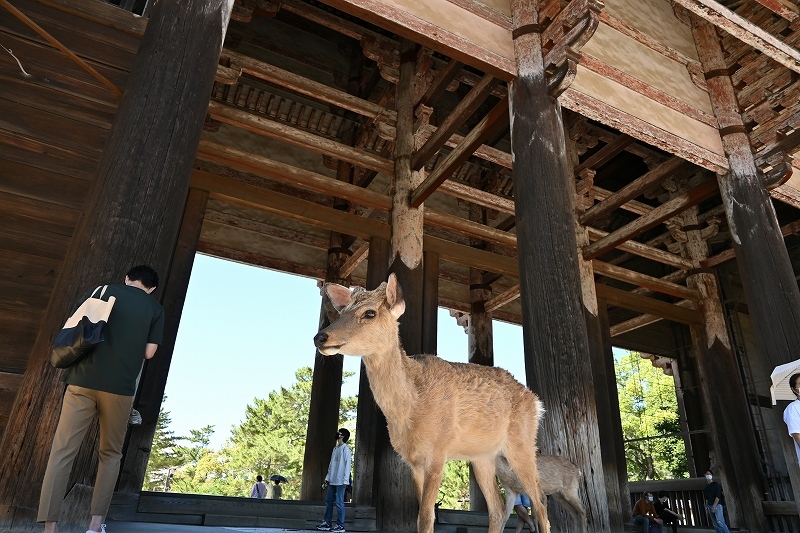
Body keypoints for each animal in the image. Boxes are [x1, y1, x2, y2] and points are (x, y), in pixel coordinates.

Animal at [312, 272, 552, 532]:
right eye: (342, 311)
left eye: (370, 313)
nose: (320, 337)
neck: (409, 410)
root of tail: (536, 402)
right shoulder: (413, 461)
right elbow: (423, 514)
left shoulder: (438, 450)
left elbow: (426, 516)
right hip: (483, 456)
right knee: (498, 508)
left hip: (522, 443)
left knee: (540, 500)